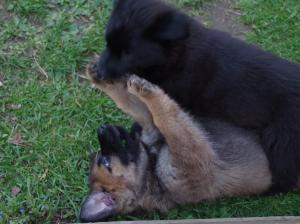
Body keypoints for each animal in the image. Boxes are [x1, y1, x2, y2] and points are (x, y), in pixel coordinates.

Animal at [78, 64, 298, 221]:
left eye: (100, 158)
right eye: (105, 162)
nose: (102, 128)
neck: (152, 174)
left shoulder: (151, 129)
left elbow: (136, 107)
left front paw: (102, 79)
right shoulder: (193, 155)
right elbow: (166, 117)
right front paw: (146, 91)